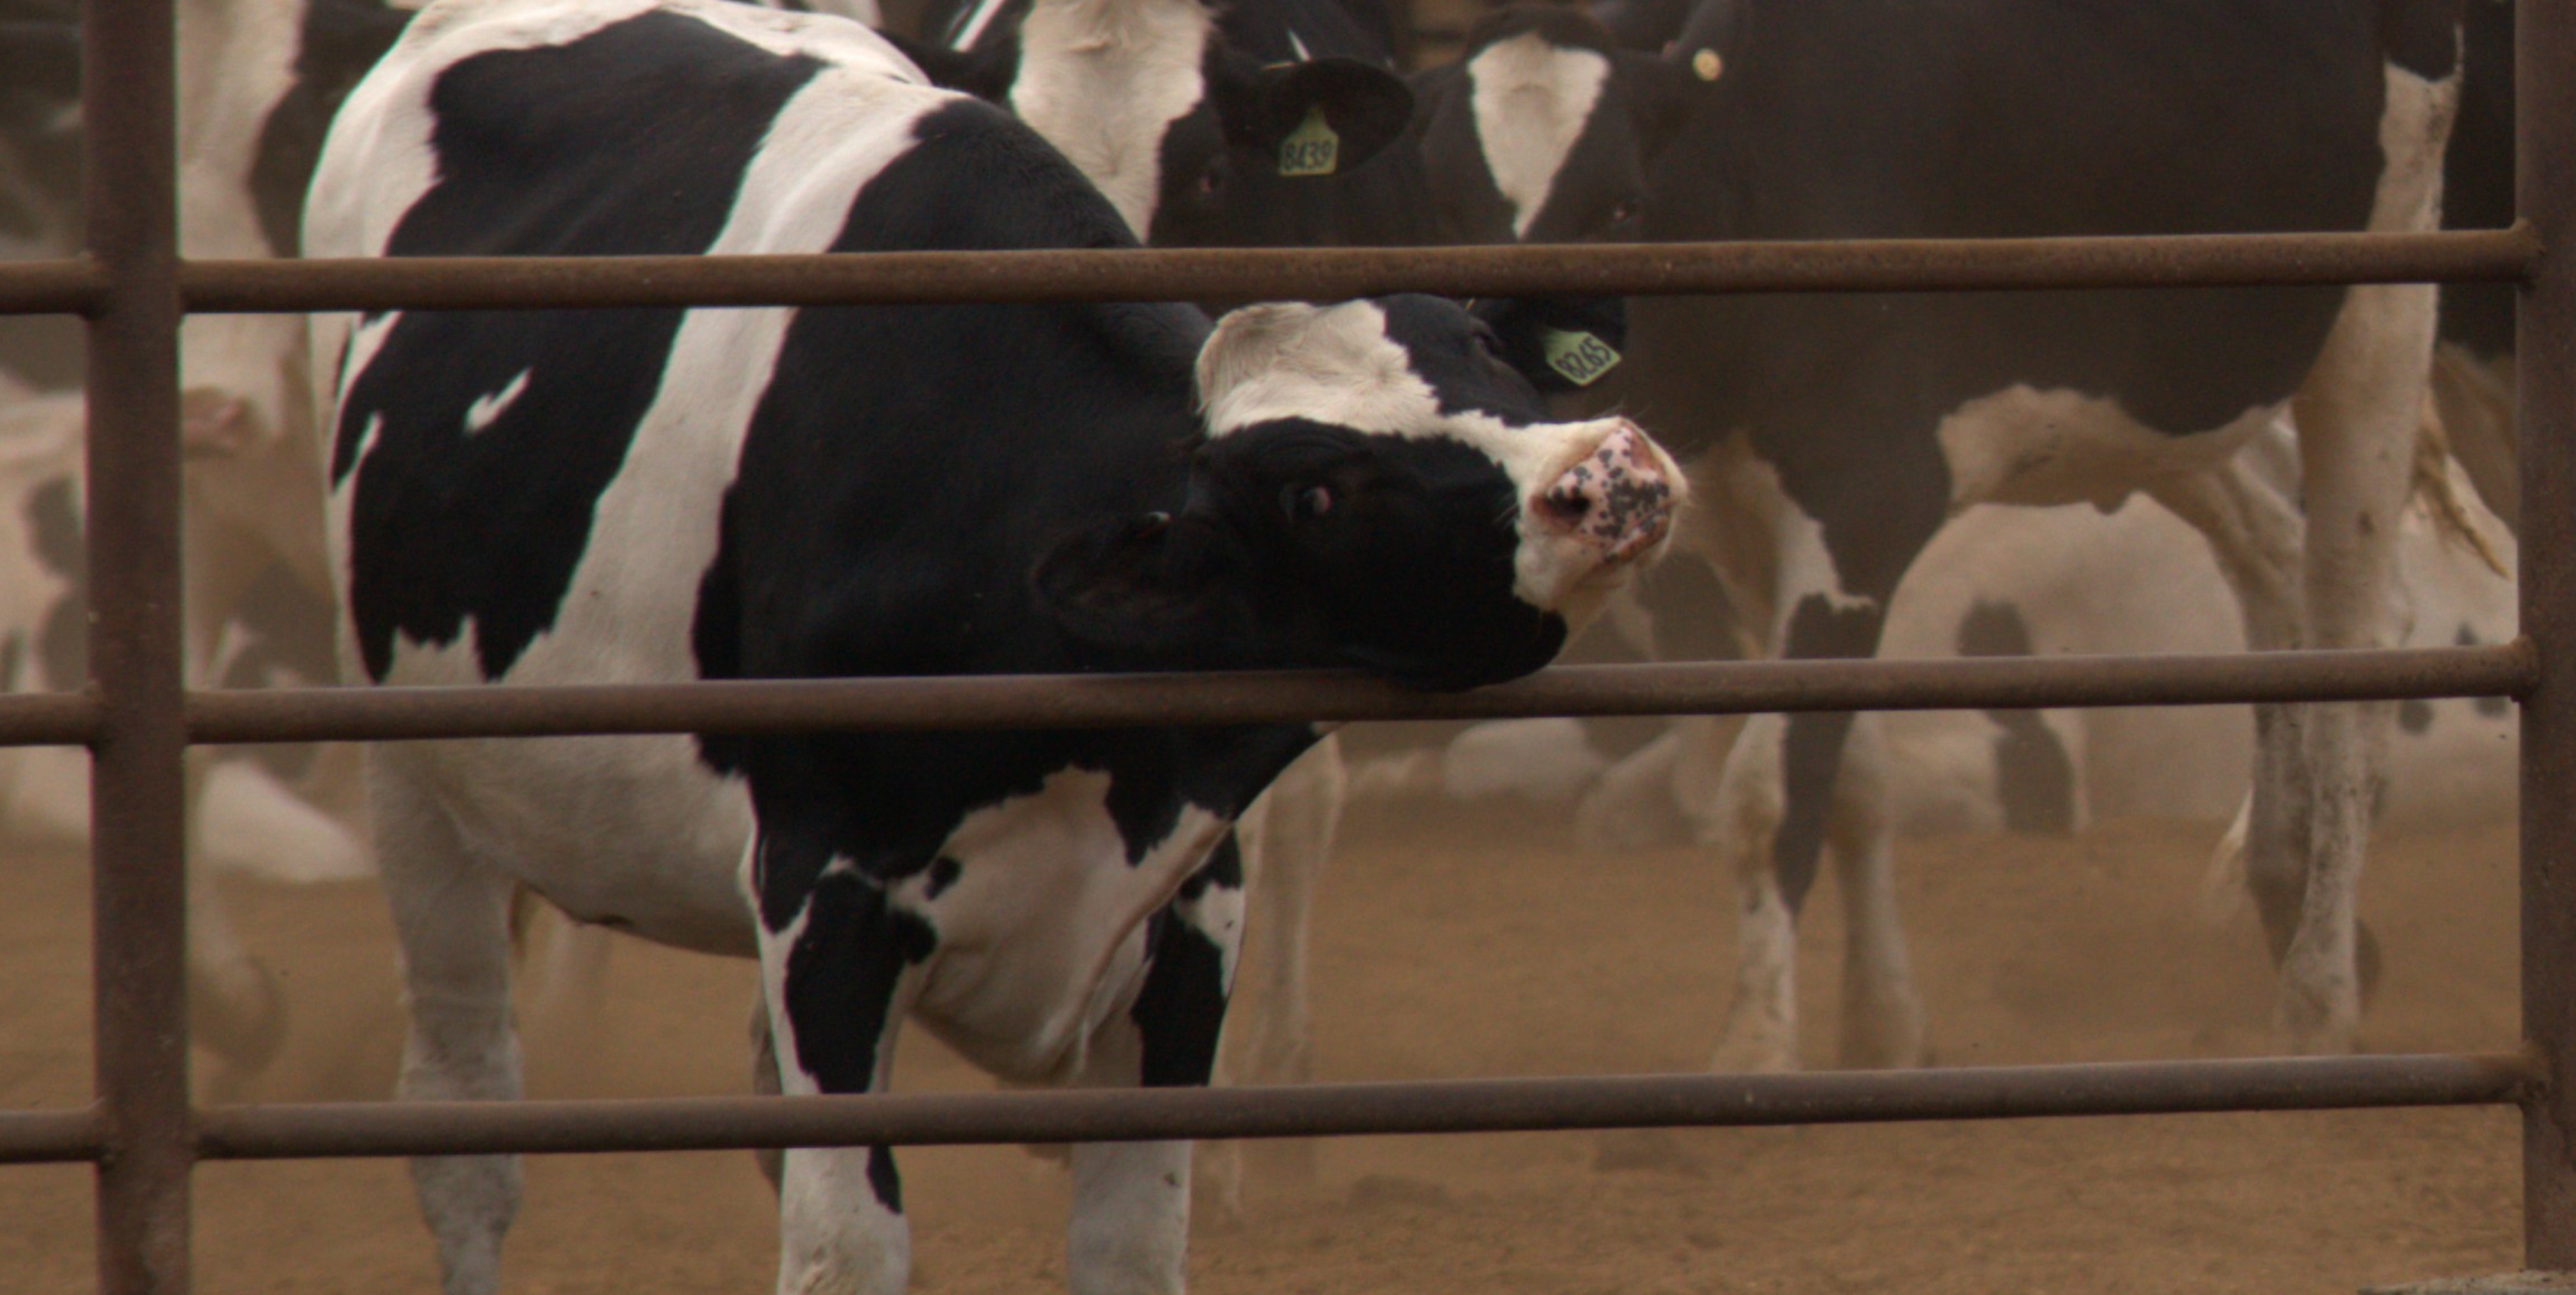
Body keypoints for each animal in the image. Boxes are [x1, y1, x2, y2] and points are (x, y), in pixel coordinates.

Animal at [307, 2, 1681, 1290]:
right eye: (1314, 496)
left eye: (1480, 347)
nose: (1604, 470)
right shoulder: (830, 904)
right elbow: (842, 1244)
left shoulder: (1190, 918)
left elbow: (1133, 1245)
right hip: (418, 784)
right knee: (465, 1131)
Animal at [1415, 0, 2459, 1069]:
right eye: (1443, 207)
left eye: (1621, 207)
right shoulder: (1754, 528)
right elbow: (1854, 775)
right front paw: (1883, 1023)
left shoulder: (1865, 500)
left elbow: (1776, 789)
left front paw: (1757, 1048)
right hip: (2162, 400)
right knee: (2274, 561)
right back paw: (2286, 889)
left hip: (2379, 308)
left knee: (2356, 627)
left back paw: (2320, 990)